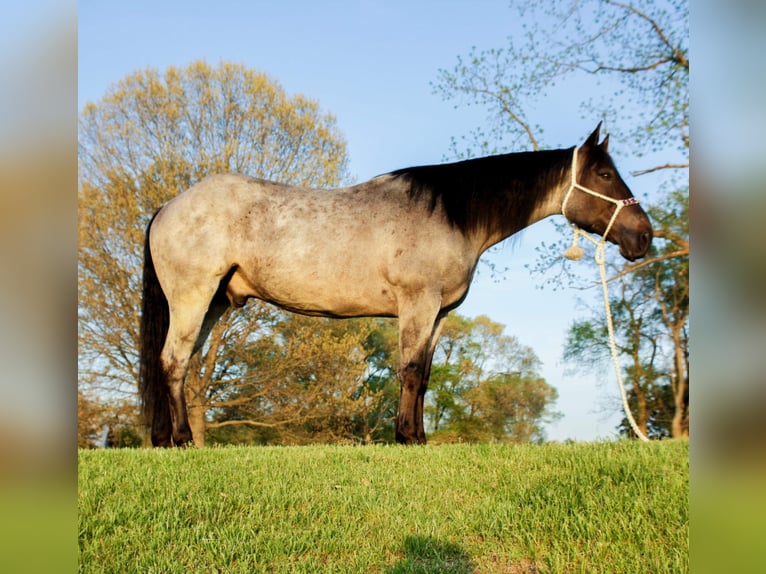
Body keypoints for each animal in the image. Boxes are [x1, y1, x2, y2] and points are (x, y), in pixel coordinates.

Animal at [140, 124, 656, 448]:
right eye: (605, 174)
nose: (644, 237)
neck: (449, 213)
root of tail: (168, 206)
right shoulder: (417, 305)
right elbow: (408, 370)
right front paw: (405, 437)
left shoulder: (439, 314)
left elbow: (424, 375)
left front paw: (420, 436)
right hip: (193, 299)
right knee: (173, 362)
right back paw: (180, 440)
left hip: (212, 305)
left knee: (177, 363)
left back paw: (165, 439)